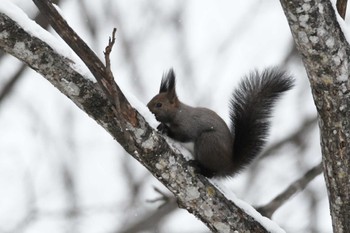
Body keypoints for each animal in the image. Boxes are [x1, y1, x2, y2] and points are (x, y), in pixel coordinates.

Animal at [146, 68, 294, 177]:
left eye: (159, 104)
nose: (148, 107)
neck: (178, 113)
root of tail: (227, 165)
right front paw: (161, 125)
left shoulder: (188, 125)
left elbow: (183, 135)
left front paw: (166, 130)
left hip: (208, 142)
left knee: (211, 172)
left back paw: (200, 168)